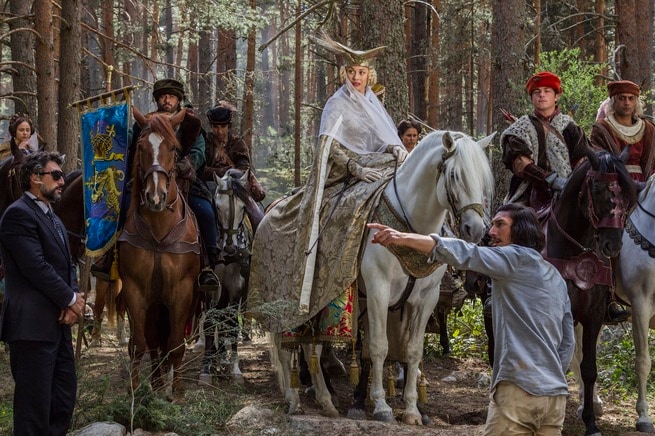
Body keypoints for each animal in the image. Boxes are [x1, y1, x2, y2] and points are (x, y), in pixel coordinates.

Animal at [118, 109, 200, 398]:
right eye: (141, 147)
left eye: (173, 149)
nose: (156, 198)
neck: (158, 229)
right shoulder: (135, 290)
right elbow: (140, 343)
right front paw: (135, 391)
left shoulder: (183, 291)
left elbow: (175, 342)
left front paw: (177, 391)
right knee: (153, 341)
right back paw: (155, 382)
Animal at [270, 131, 492, 424]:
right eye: (455, 175)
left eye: (483, 178)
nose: (475, 229)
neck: (412, 232)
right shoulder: (378, 290)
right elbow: (377, 347)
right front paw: (380, 406)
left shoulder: (426, 299)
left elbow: (412, 351)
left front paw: (412, 410)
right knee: (289, 346)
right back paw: (294, 397)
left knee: (311, 346)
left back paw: (325, 400)